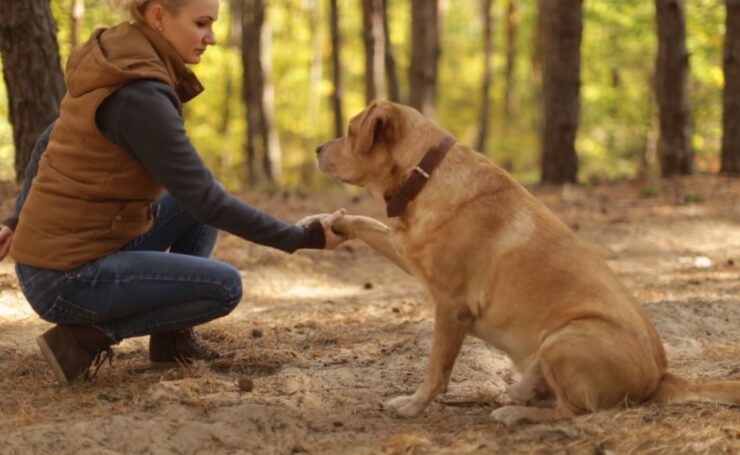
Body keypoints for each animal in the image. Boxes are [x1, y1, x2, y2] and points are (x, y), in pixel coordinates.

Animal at [310, 100, 740, 428]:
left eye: (350, 131)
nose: (316, 148)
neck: (426, 174)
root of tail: (661, 376)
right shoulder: (405, 250)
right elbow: (366, 223)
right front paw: (332, 224)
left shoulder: (451, 307)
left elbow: (435, 372)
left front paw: (414, 406)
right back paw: (523, 393)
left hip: (564, 340)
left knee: (576, 413)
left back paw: (515, 413)